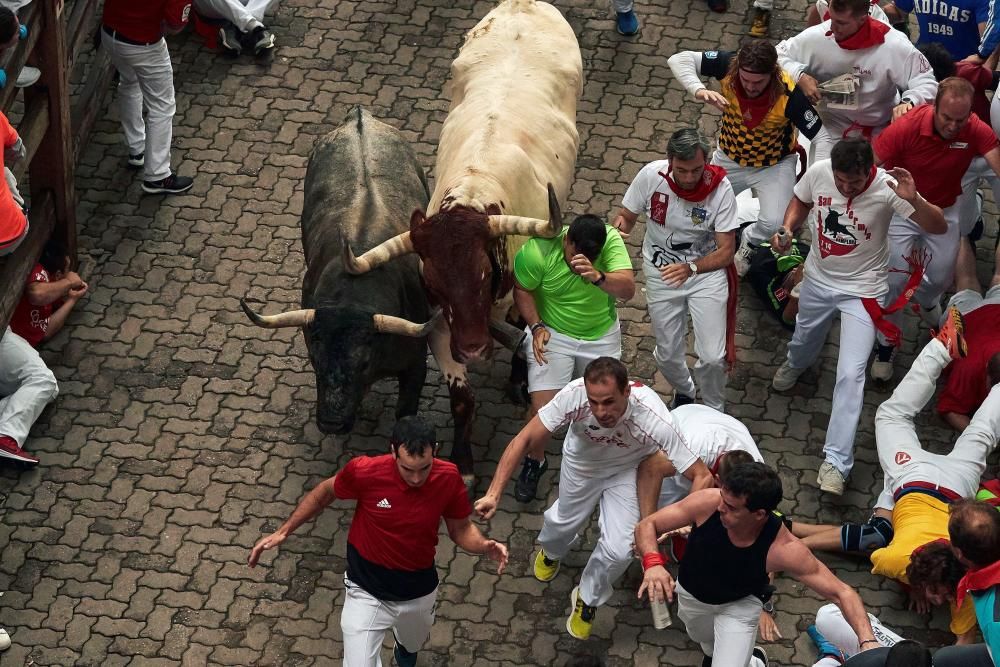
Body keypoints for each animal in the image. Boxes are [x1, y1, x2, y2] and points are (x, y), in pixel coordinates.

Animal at [344, 0, 584, 480]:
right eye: (434, 283)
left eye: (483, 274)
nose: (474, 349)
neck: (476, 188)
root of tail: (527, 4)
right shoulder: (440, 327)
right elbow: (461, 399)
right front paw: (466, 463)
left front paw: (518, 378)